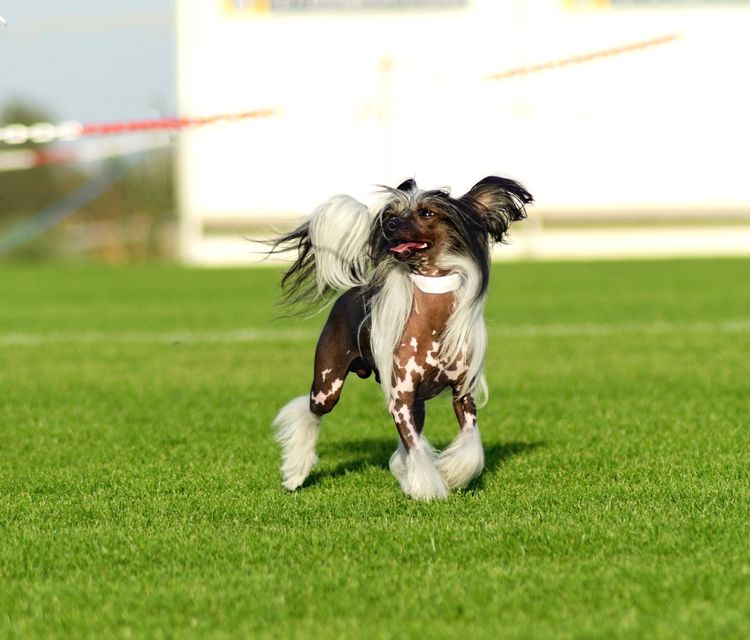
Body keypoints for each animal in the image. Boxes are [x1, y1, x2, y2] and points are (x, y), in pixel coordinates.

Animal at [268, 175, 532, 500]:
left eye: (427, 213)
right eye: (393, 214)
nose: (390, 226)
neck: (433, 324)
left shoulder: (461, 393)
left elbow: (470, 445)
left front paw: (449, 473)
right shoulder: (401, 399)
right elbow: (415, 447)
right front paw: (428, 489)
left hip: (416, 403)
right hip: (327, 386)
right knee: (310, 412)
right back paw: (296, 473)